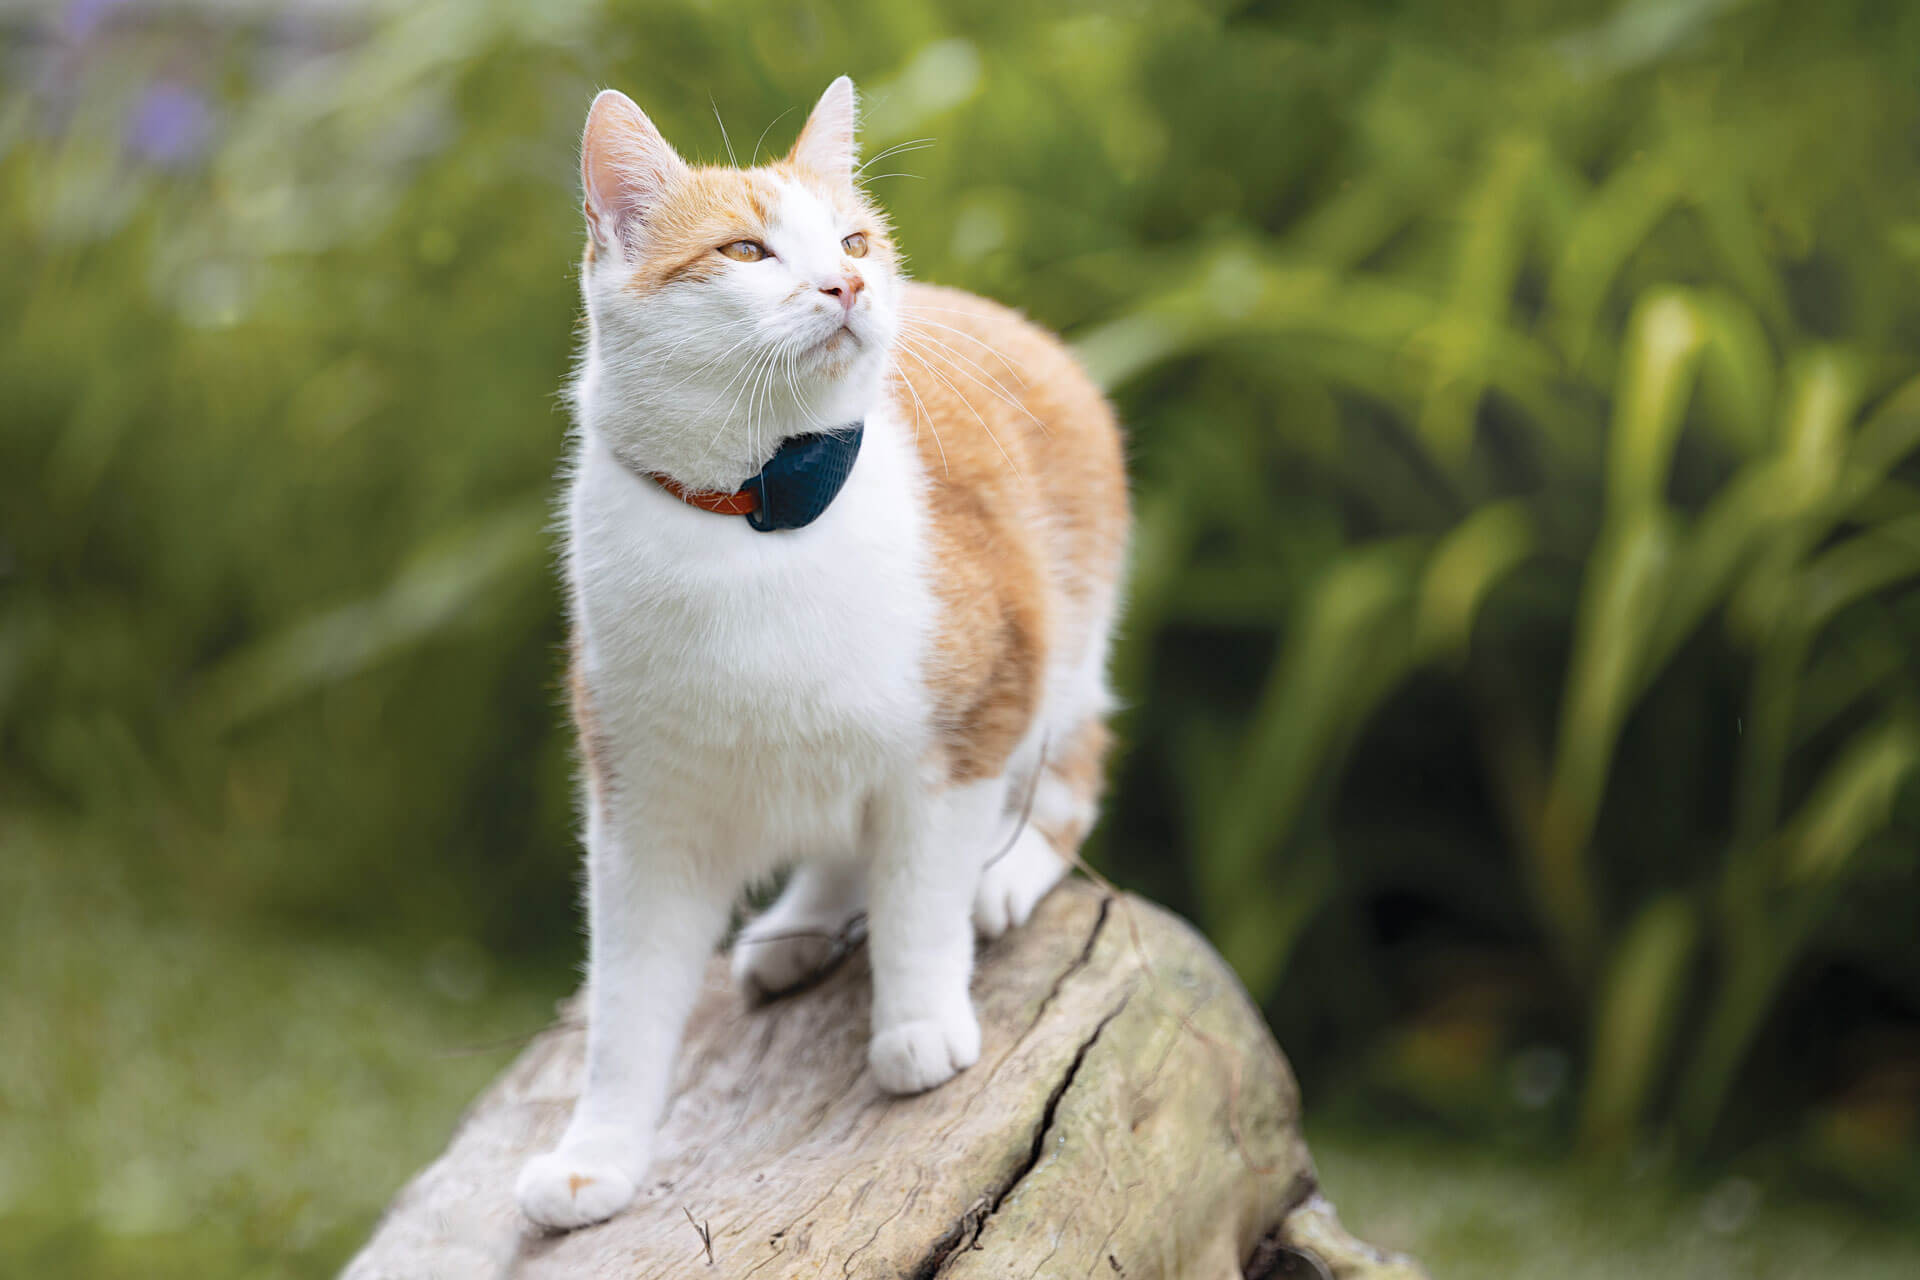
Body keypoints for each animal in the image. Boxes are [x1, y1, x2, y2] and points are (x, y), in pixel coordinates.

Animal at [518, 77, 1128, 1228]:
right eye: (746, 251)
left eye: (852, 239)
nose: (848, 282)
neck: (757, 515)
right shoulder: (643, 814)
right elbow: (628, 1001)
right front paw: (597, 1154)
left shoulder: (968, 723)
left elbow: (920, 894)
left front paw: (918, 1020)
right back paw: (801, 924)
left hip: (1068, 644)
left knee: (1066, 769)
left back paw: (1008, 873)